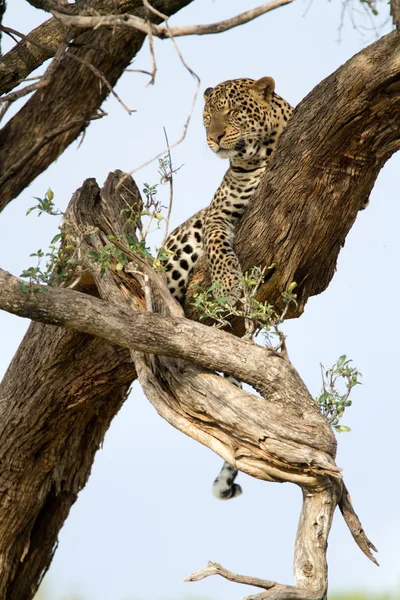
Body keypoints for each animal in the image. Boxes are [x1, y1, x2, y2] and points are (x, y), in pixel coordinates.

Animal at [159, 77, 294, 502]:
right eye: (208, 116)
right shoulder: (218, 213)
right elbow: (218, 243)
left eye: (233, 112)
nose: (214, 137)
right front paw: (229, 282)